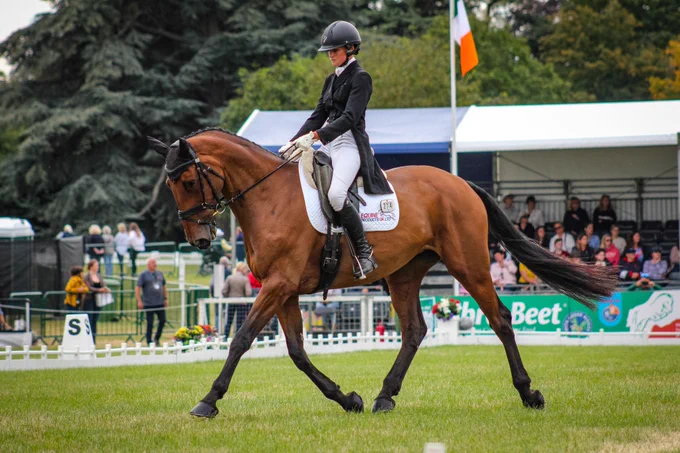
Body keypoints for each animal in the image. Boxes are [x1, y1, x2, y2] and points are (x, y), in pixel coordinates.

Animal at [148, 128, 618, 418]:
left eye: (187, 181)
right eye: (170, 184)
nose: (199, 240)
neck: (270, 198)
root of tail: (460, 184)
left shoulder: (279, 286)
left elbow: (241, 340)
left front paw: (208, 401)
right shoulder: (284, 290)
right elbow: (297, 352)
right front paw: (346, 399)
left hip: (468, 264)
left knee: (500, 319)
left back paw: (529, 393)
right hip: (404, 274)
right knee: (414, 330)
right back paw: (383, 397)